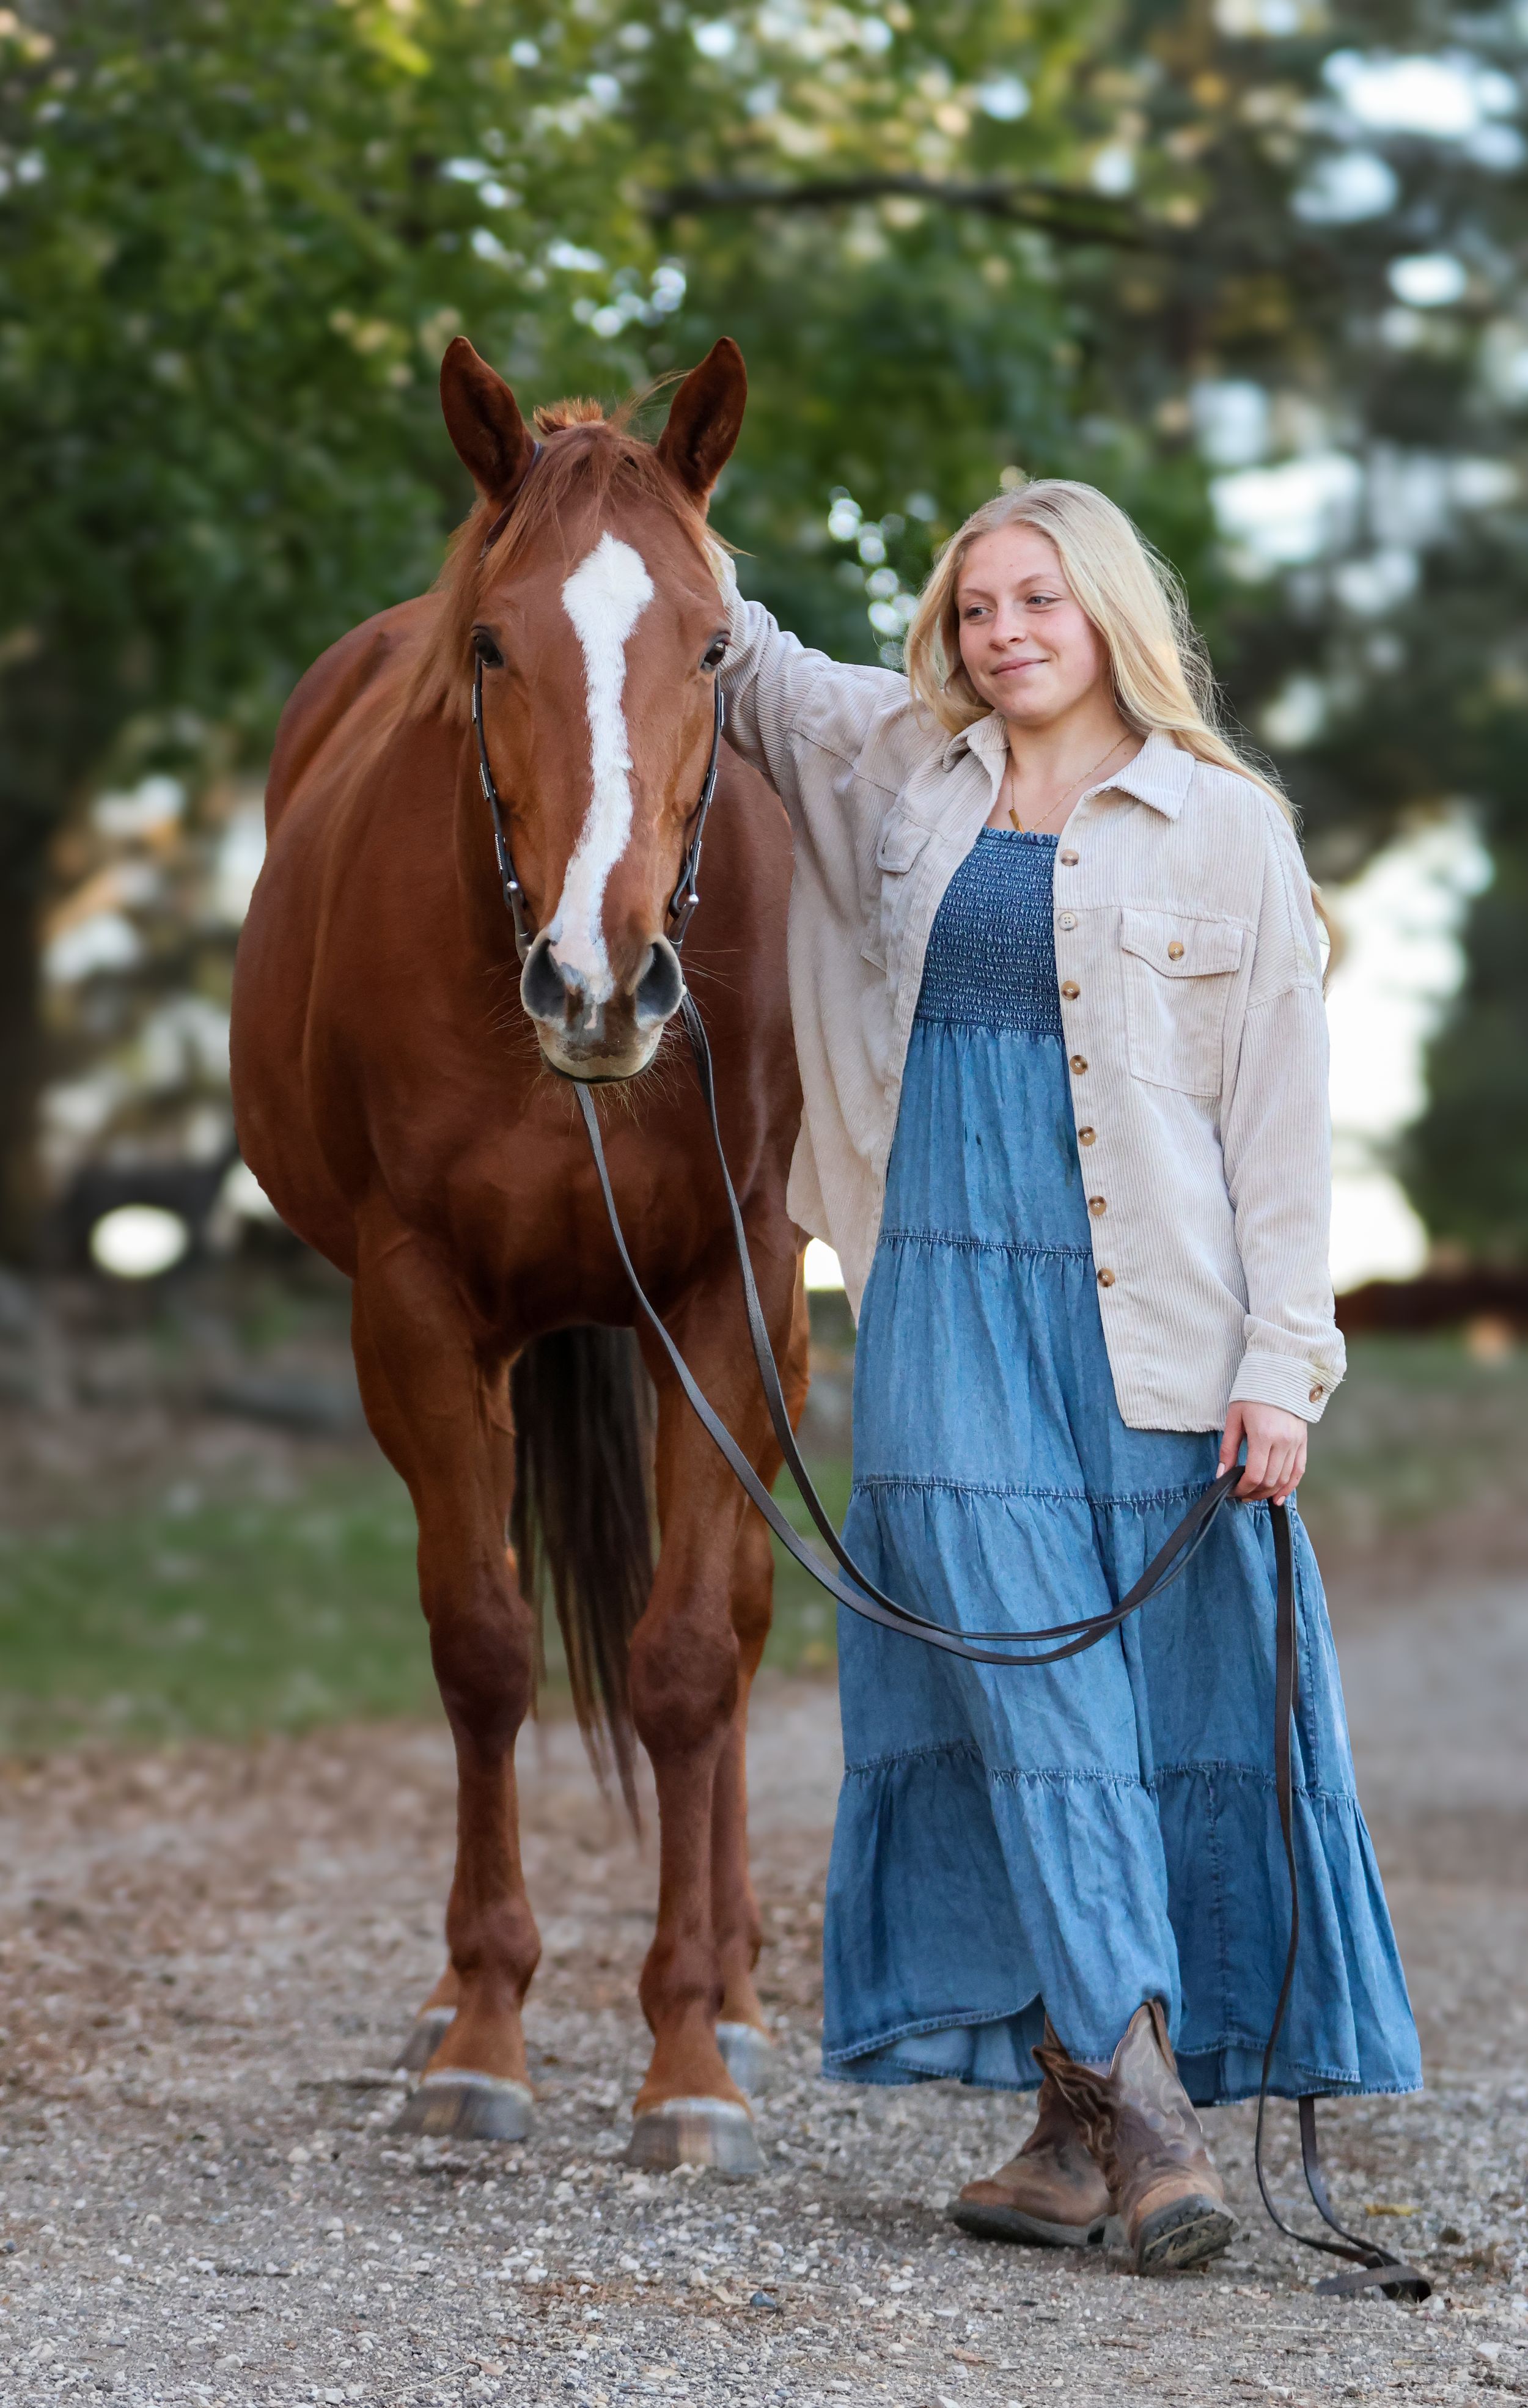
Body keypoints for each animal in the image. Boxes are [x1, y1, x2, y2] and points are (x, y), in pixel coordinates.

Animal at [229, 335, 809, 2174]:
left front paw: (689, 2056)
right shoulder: (415, 1310)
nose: (599, 982)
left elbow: (686, 1659)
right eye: (492, 644)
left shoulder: (728, 1295)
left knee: (746, 1618)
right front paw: (483, 2026)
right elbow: (480, 1643)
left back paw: (747, 1996)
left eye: (710, 643)